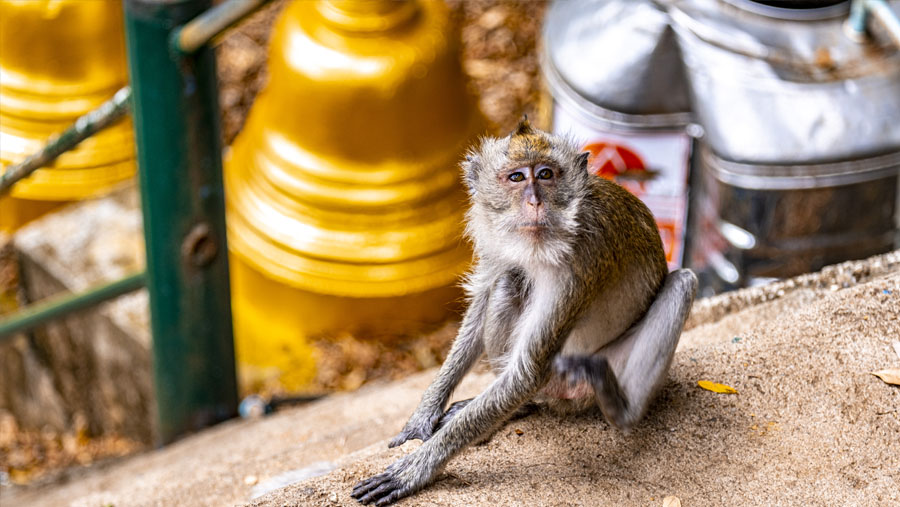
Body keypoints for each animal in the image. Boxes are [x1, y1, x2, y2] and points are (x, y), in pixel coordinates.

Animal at [350, 119, 696, 504]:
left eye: (545, 174)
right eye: (516, 177)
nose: (534, 201)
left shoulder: (582, 260)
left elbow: (527, 372)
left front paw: (416, 468)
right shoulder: (495, 240)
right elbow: (481, 305)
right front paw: (423, 416)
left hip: (583, 379)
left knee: (682, 283)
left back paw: (623, 410)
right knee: (509, 282)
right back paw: (521, 406)